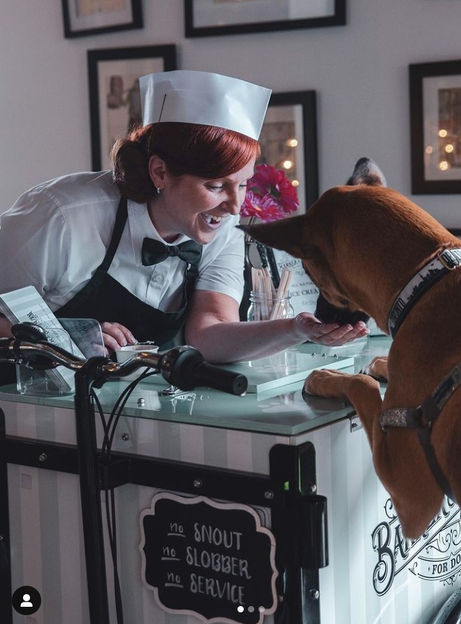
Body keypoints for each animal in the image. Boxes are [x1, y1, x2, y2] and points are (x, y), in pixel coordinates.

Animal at [241, 158, 461, 539]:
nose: (316, 316)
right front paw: (378, 363)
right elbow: (375, 373)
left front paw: (325, 377)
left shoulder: (411, 496)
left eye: (311, 272)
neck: (425, 276)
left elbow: (362, 383)